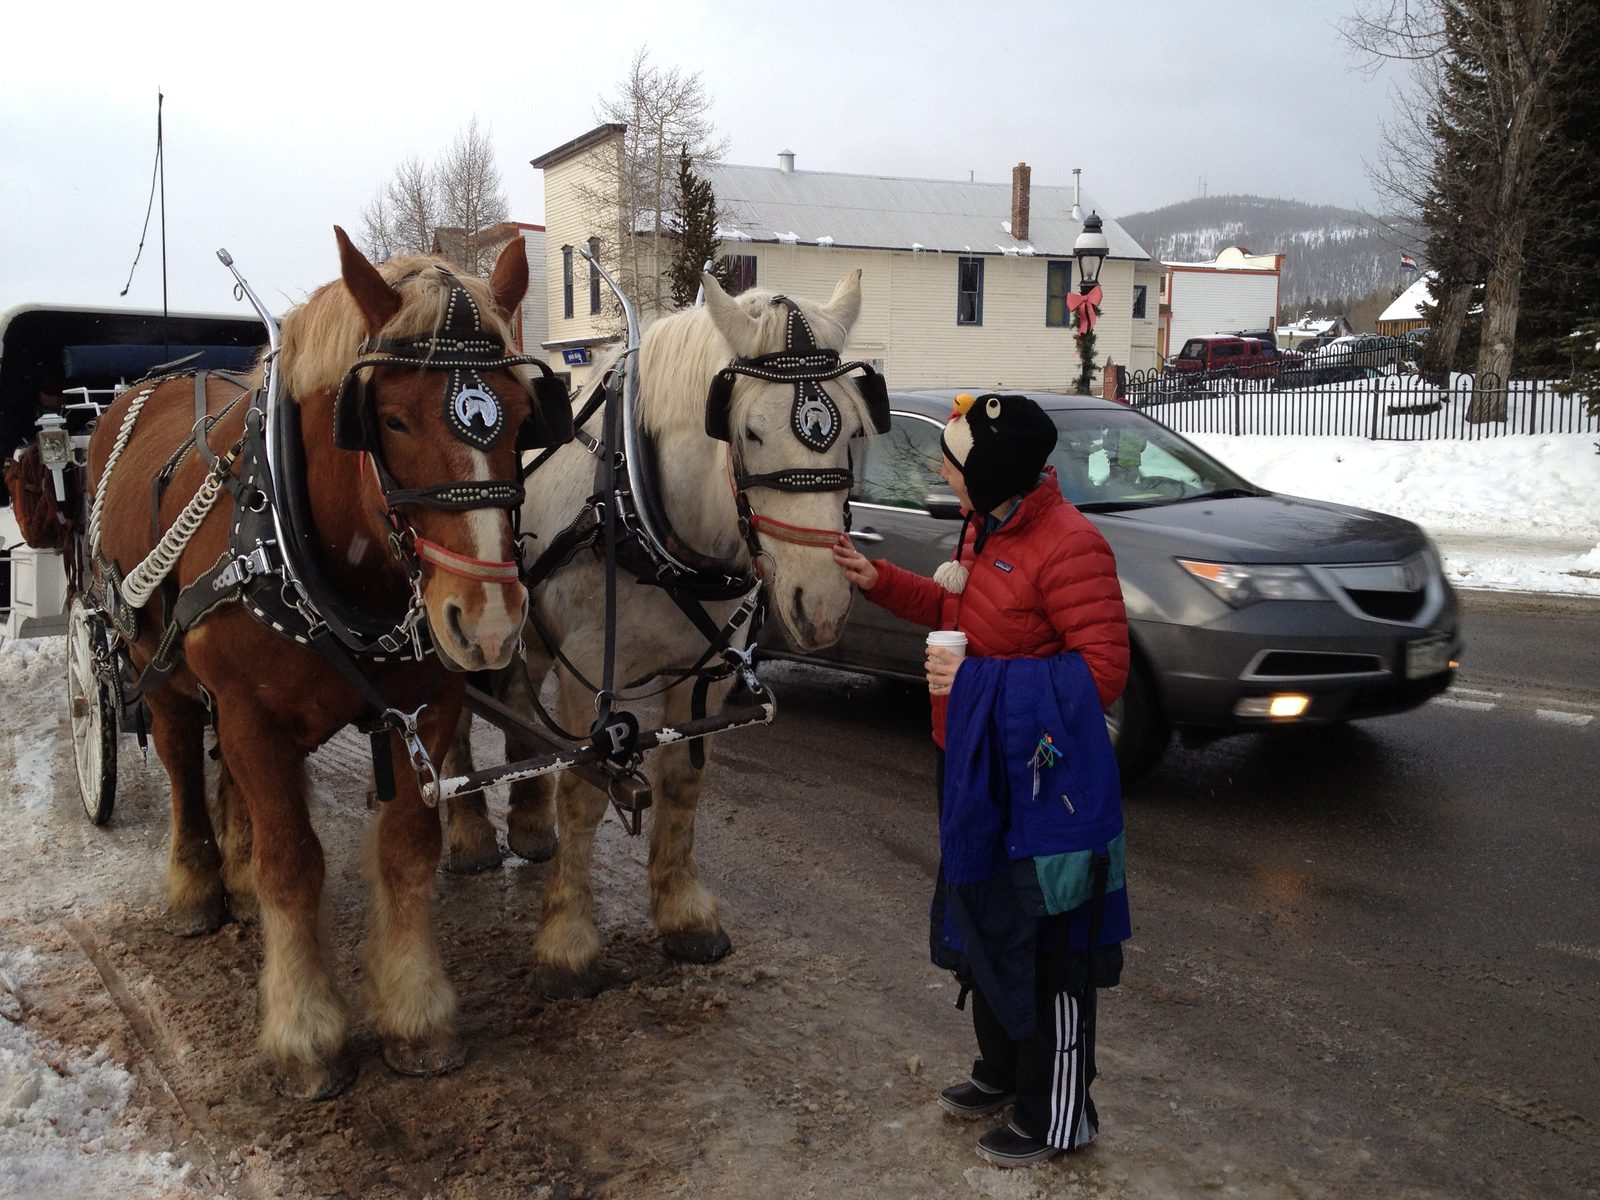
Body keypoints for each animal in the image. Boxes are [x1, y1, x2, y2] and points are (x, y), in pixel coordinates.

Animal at [77, 228, 570, 1097]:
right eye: (392, 421)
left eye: (520, 417)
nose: (486, 624)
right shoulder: (250, 713)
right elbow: (293, 863)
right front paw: (306, 1035)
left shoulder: (422, 706)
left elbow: (407, 849)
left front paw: (416, 1016)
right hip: (156, 667)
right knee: (181, 760)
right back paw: (200, 884)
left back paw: (234, 867)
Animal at [445, 269, 885, 999]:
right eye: (750, 431)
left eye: (852, 426)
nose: (821, 604)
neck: (642, 512)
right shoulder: (586, 671)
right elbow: (584, 790)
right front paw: (567, 944)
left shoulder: (706, 671)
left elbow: (682, 782)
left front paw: (683, 914)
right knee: (449, 715)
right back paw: (470, 835)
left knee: (513, 705)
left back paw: (529, 828)